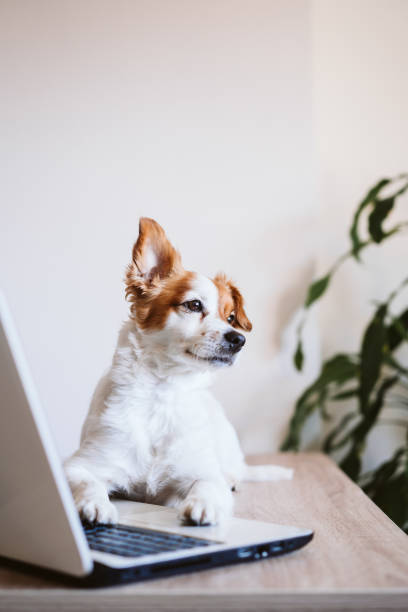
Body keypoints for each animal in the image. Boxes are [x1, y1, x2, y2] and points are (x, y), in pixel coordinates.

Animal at [63, 216, 292, 524]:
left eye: (231, 317)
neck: (164, 389)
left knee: (235, 472)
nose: (238, 340)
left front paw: (203, 505)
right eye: (193, 305)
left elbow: (208, 485)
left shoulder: (202, 473)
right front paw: (94, 504)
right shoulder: (80, 464)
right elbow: (87, 482)